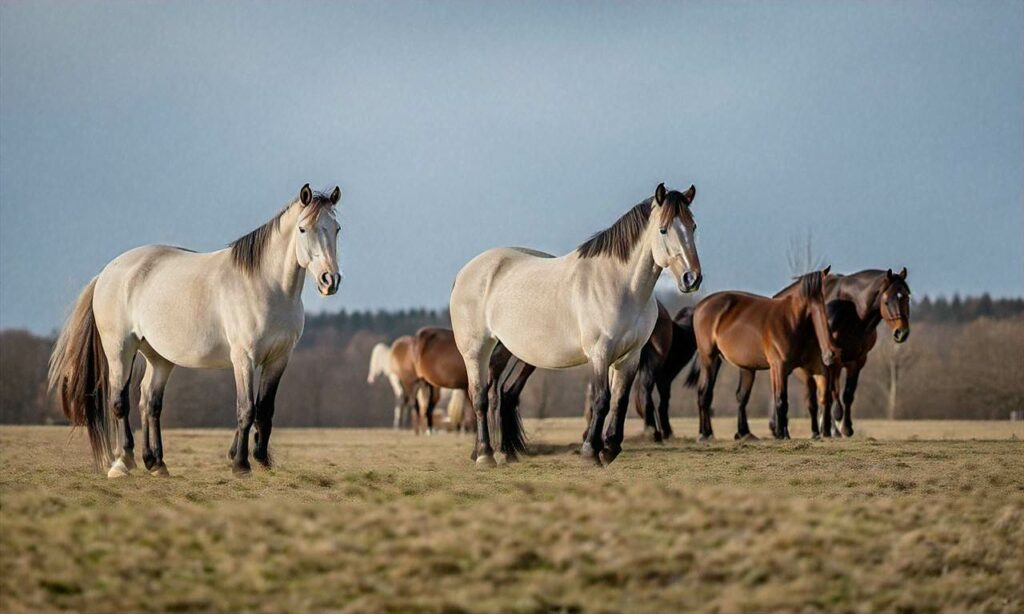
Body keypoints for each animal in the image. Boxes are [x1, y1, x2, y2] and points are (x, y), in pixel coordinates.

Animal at [49, 184, 344, 476]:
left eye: (337, 228)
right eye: (302, 229)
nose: (330, 280)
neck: (266, 287)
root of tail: (107, 273)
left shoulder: (279, 359)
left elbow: (265, 409)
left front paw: (261, 459)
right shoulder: (244, 359)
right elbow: (246, 409)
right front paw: (241, 464)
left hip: (159, 357)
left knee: (150, 402)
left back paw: (155, 462)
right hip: (120, 349)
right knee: (120, 401)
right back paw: (124, 462)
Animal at [450, 182, 700, 464]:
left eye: (693, 226)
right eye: (663, 229)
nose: (692, 278)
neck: (618, 285)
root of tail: (465, 273)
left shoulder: (630, 356)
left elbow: (620, 400)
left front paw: (610, 447)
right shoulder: (600, 353)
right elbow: (601, 400)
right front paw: (591, 451)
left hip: (505, 349)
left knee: (494, 391)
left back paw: (500, 451)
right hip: (476, 351)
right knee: (479, 395)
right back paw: (485, 454)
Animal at [688, 266, 839, 437]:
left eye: (823, 298)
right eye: (811, 302)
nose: (830, 355)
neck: (791, 321)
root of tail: (700, 306)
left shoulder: (811, 368)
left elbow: (820, 397)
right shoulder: (779, 367)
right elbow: (780, 400)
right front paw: (782, 434)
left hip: (723, 362)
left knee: (722, 395)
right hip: (709, 358)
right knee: (704, 392)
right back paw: (704, 434)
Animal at [770, 268, 913, 435]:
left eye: (906, 297)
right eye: (886, 301)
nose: (901, 332)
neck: (851, 310)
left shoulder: (857, 361)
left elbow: (847, 394)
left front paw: (845, 427)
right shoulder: (832, 361)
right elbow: (831, 393)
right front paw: (834, 421)